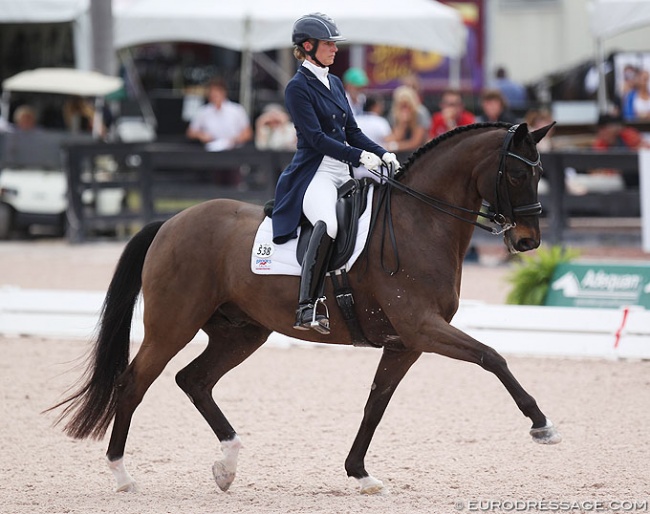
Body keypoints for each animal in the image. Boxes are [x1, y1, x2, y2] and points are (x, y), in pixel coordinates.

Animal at [50, 119, 556, 492]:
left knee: (194, 380)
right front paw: (541, 425)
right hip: (172, 325)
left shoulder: (405, 342)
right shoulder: (422, 328)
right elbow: (492, 357)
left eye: (539, 173)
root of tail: (172, 221)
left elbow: (376, 403)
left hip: (242, 332)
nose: (527, 241)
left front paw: (360, 473)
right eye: (516, 174)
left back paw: (227, 466)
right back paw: (122, 476)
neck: (420, 221)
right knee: (133, 384)